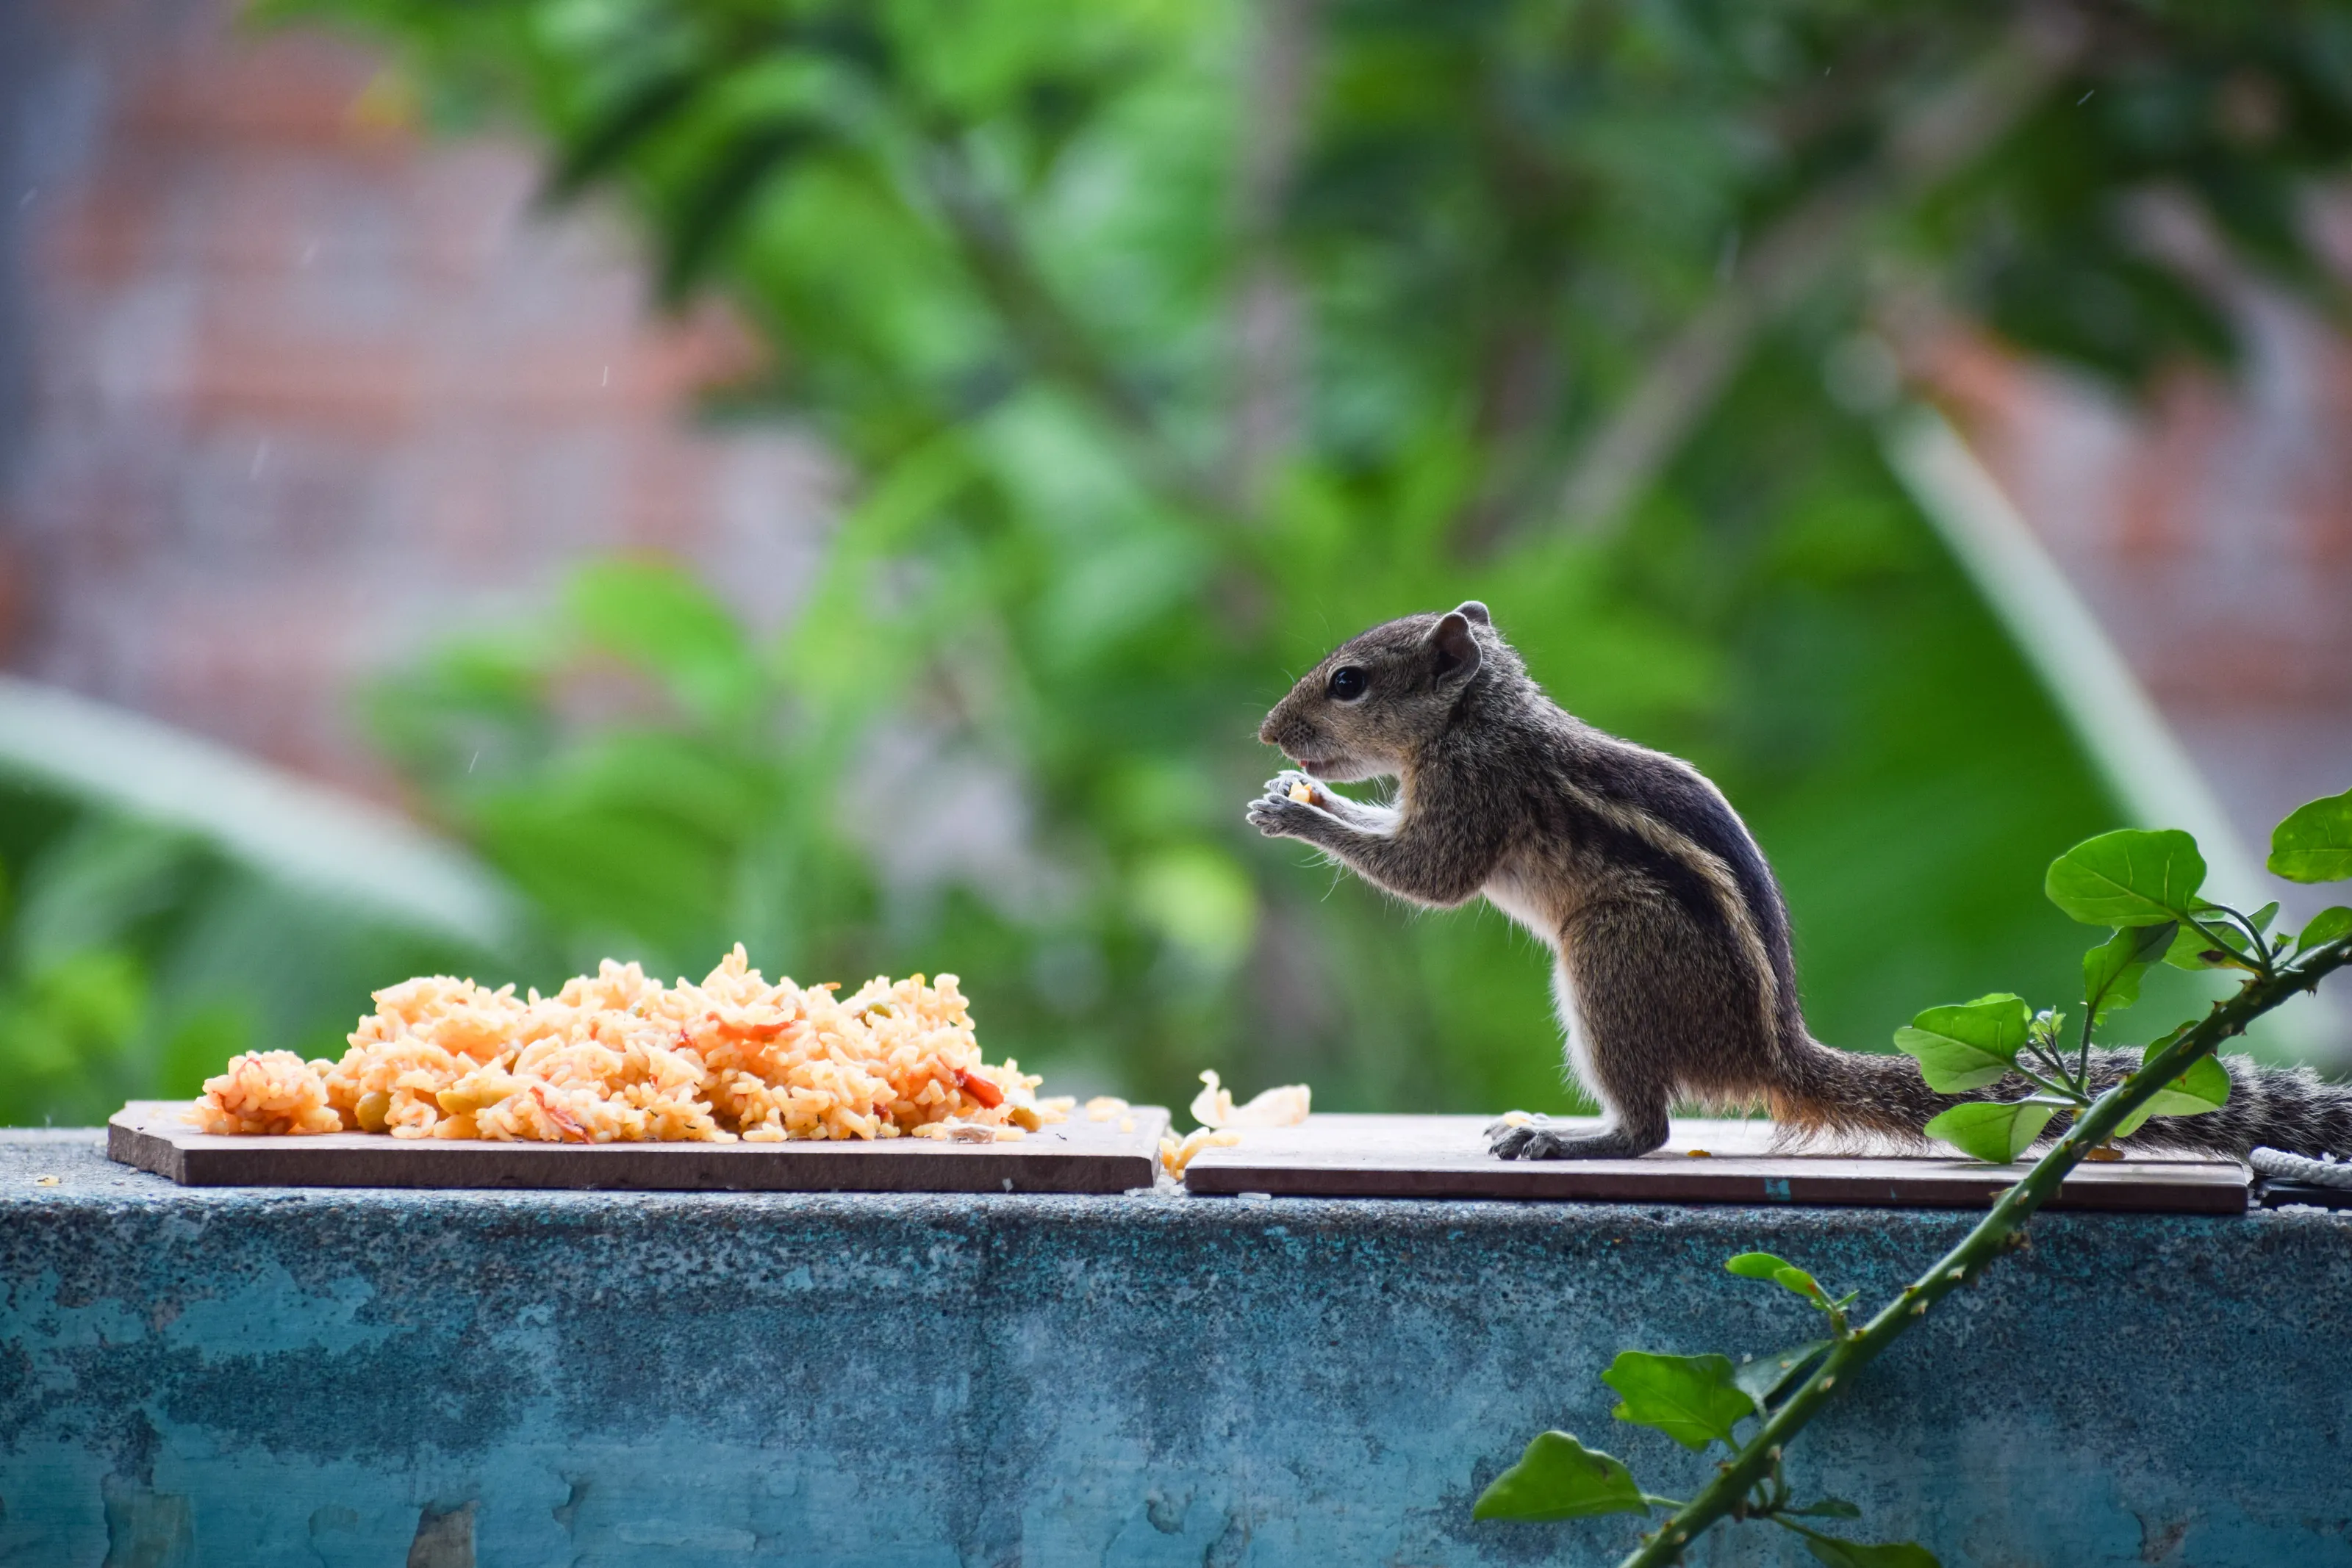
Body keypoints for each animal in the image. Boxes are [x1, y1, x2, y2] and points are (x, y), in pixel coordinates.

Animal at [1246, 602, 2352, 1162]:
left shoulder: (1477, 794)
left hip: (1611, 958)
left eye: (1348, 682)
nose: (1267, 732)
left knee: (1651, 1126)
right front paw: (1288, 794)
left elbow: (1430, 876)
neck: (1476, 714)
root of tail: (1775, 1052)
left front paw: (1299, 813)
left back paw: (1571, 1139)